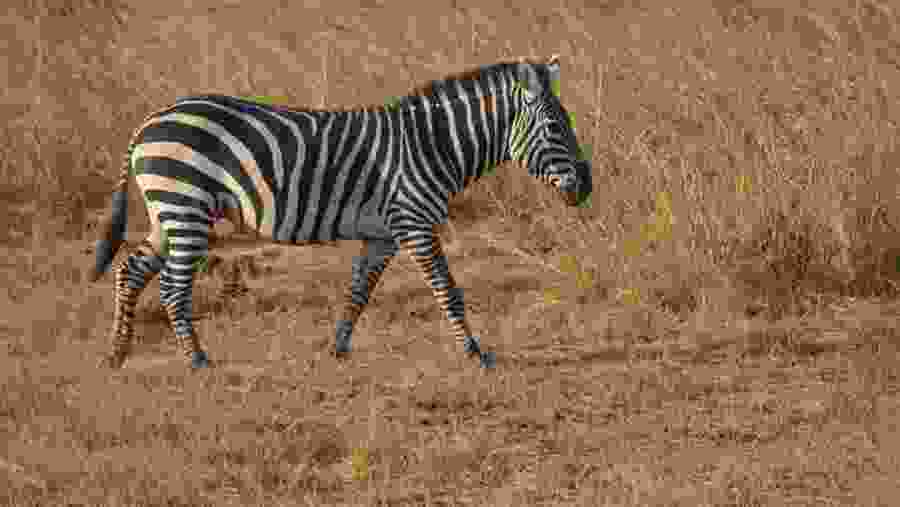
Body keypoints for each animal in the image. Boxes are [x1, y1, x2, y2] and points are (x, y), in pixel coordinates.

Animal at [87, 55, 593, 370]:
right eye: (555, 127)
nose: (586, 188)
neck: (432, 145)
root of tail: (149, 121)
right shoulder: (415, 223)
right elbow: (447, 290)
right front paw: (475, 353)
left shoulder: (384, 234)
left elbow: (359, 291)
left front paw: (339, 347)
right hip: (185, 207)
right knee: (171, 287)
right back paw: (196, 359)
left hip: (168, 213)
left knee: (131, 271)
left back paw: (117, 353)